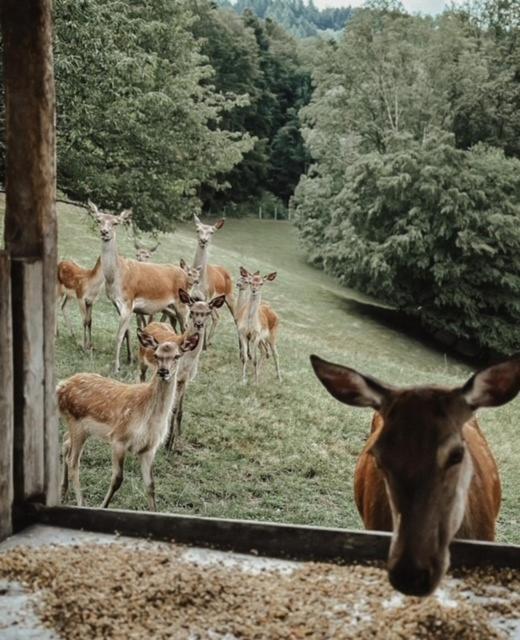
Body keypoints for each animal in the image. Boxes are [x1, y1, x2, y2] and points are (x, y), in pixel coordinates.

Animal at [59, 330, 199, 510]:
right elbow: (117, 479)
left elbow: (151, 485)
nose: (163, 371)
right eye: (156, 355)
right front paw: (102, 507)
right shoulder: (119, 439)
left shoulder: (149, 448)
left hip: (79, 428)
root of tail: (61, 387)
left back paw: (63, 492)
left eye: (177, 356)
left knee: (65, 443)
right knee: (73, 462)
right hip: (77, 425)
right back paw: (81, 502)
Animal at [88, 200, 192, 370]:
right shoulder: (118, 304)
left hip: (183, 305)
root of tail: (187, 276)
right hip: (170, 309)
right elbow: (127, 332)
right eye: (98, 220)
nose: (104, 232)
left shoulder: (128, 301)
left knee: (187, 328)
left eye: (116, 222)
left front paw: (115, 367)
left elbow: (119, 335)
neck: (116, 277)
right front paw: (129, 359)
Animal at [139, 290, 226, 456]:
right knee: (140, 378)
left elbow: (179, 408)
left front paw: (177, 435)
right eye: (192, 312)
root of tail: (152, 323)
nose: (199, 324)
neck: (187, 361)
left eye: (207, 312)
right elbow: (171, 407)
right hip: (142, 361)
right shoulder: (174, 376)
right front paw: (168, 443)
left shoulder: (185, 379)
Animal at [192, 214, 235, 344]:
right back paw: (209, 341)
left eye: (212, 232)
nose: (203, 240)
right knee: (216, 317)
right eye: (197, 229)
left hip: (230, 296)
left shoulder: (206, 297)